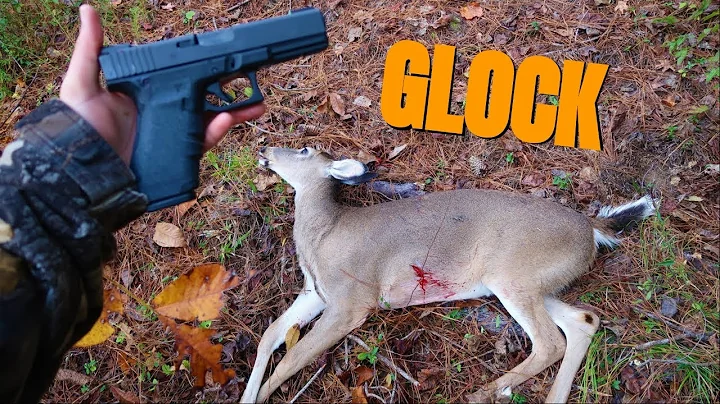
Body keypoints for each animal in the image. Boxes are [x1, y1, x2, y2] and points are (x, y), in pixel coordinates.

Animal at [241, 146, 657, 403]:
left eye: (304, 149)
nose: (265, 150)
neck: (323, 235)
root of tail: (590, 229)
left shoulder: (351, 298)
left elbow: (293, 356)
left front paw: (261, 395)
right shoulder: (315, 291)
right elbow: (270, 335)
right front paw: (247, 395)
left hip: (512, 273)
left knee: (550, 342)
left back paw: (485, 392)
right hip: (531, 281)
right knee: (583, 320)